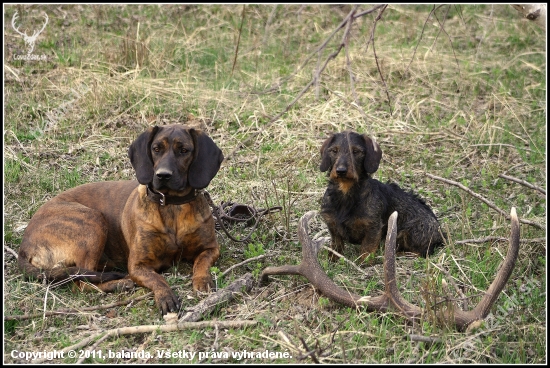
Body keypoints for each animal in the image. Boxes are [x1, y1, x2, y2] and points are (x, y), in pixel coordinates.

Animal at [17, 125, 224, 314]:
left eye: (184, 150)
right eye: (156, 148)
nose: (163, 175)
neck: (172, 206)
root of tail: (24, 246)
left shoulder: (210, 249)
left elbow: (201, 264)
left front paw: (203, 282)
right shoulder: (137, 266)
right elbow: (158, 279)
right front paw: (165, 295)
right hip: (93, 221)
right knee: (81, 283)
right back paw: (119, 284)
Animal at [322, 132, 446, 262]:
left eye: (356, 151)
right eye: (334, 150)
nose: (341, 170)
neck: (346, 194)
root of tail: (441, 234)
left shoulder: (373, 228)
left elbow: (366, 249)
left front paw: (364, 262)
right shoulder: (332, 226)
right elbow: (336, 246)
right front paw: (332, 260)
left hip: (409, 231)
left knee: (421, 252)